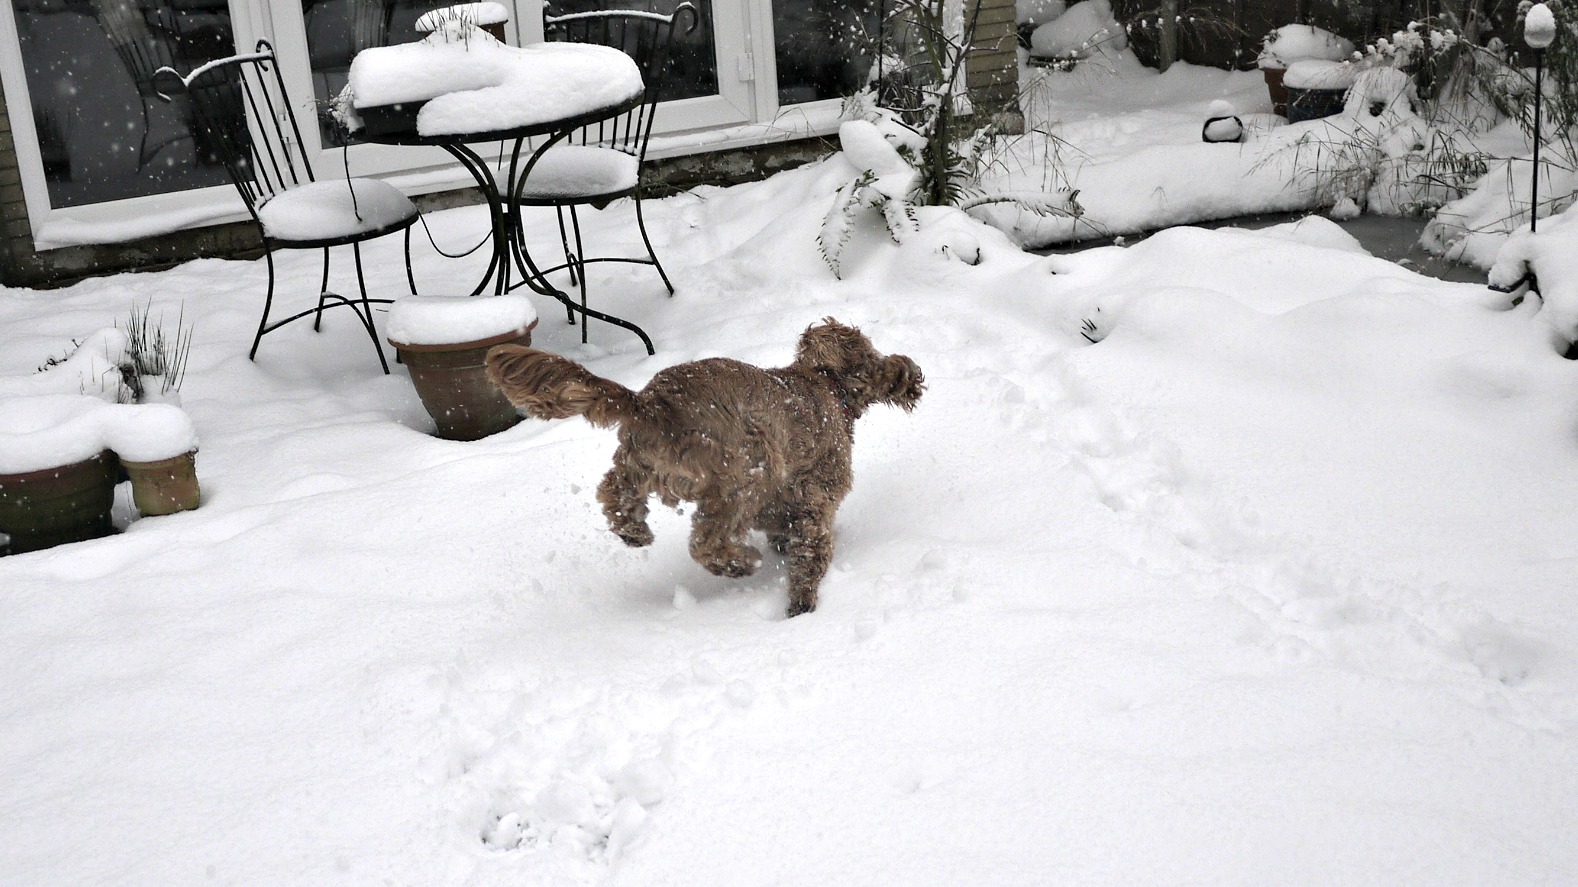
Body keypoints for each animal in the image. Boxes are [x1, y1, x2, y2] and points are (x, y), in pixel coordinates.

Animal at [484, 319, 924, 616]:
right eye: (875, 355)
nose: (913, 373)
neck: (825, 386)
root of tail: (651, 404)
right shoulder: (815, 497)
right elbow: (810, 552)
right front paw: (802, 605)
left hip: (638, 462)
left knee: (614, 493)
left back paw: (635, 532)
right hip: (746, 471)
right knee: (705, 541)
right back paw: (740, 563)